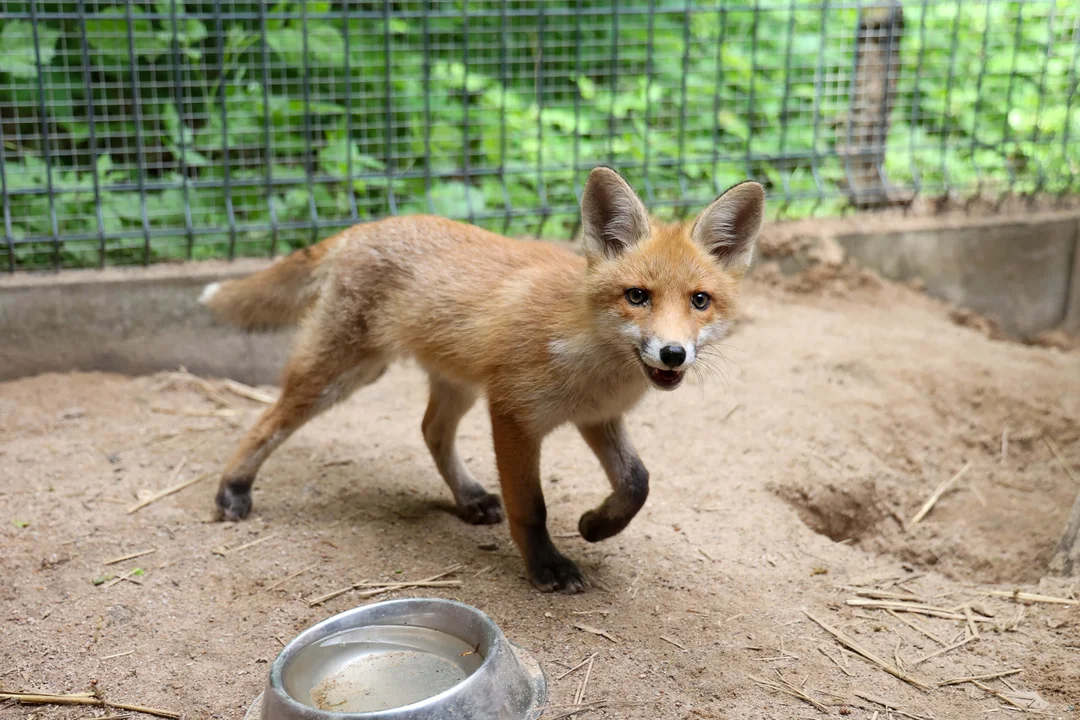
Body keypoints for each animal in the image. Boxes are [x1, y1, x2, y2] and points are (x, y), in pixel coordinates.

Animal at [200, 167, 760, 591]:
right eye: (637, 296)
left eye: (700, 301)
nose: (673, 354)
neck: (590, 354)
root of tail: (368, 225)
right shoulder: (513, 414)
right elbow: (531, 507)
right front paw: (546, 567)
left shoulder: (597, 417)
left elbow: (637, 482)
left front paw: (597, 525)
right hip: (344, 373)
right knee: (269, 419)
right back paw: (232, 489)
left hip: (456, 383)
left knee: (431, 431)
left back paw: (468, 498)